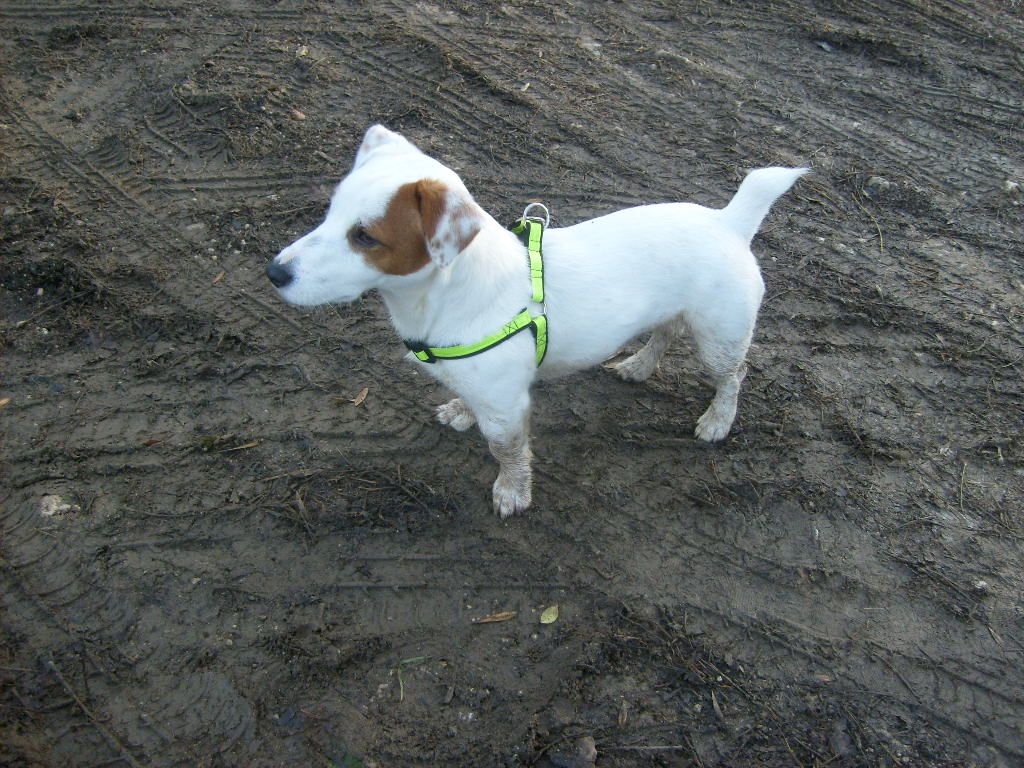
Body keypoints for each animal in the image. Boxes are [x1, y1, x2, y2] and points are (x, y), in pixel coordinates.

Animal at [267, 125, 805, 518]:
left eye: (365, 237)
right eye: (330, 211)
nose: (274, 273)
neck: (443, 295)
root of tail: (728, 221)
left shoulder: (506, 408)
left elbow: (507, 451)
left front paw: (512, 493)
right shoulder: (481, 387)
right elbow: (468, 401)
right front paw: (460, 411)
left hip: (719, 337)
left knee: (733, 376)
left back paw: (718, 420)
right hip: (677, 313)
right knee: (665, 332)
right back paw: (639, 365)